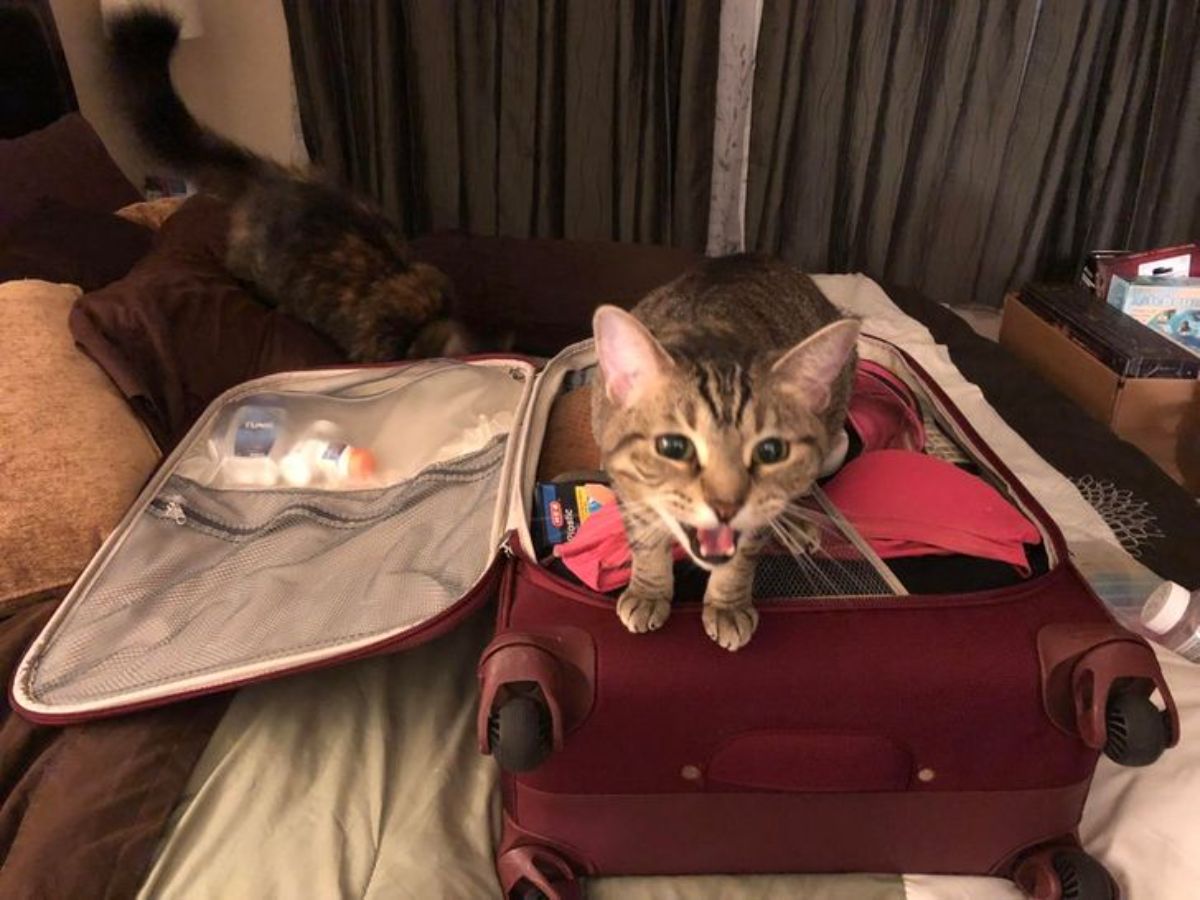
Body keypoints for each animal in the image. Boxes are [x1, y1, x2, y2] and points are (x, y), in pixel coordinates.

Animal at [588, 256, 854, 652]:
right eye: (673, 447)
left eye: (771, 451)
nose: (726, 507)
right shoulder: (627, 488)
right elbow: (646, 538)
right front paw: (649, 591)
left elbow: (740, 558)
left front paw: (728, 605)